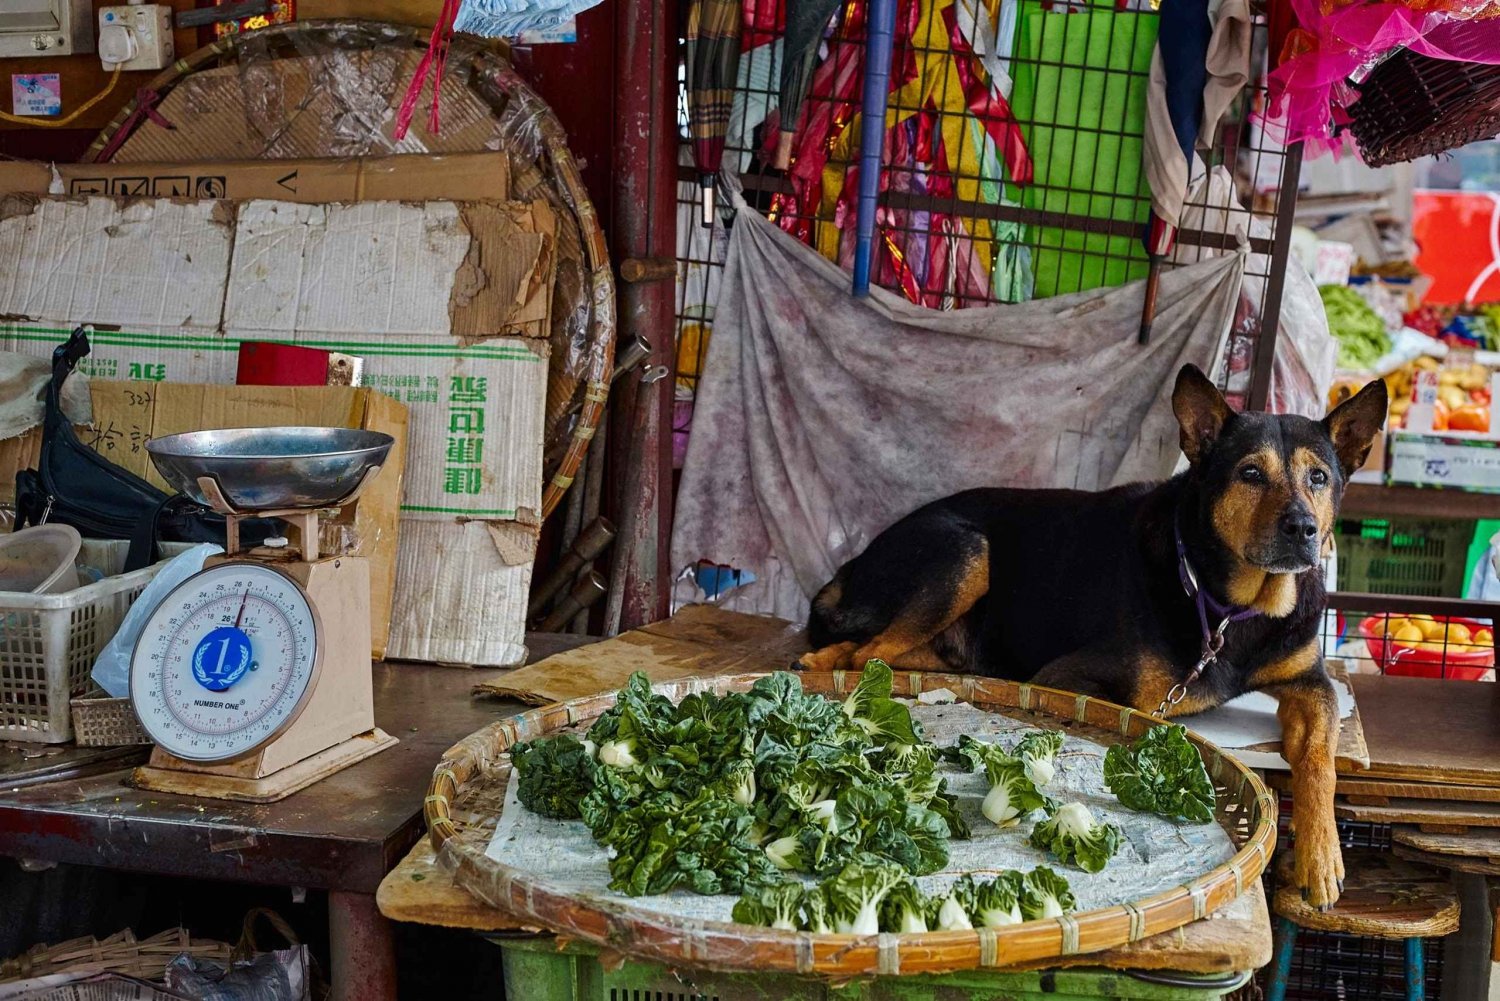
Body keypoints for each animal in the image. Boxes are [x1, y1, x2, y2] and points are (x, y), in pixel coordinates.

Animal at [804, 361, 1386, 906]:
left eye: (1319, 478)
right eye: (1249, 473)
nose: (1303, 530)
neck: (1233, 609)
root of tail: (851, 567)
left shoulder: (1311, 682)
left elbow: (1320, 759)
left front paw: (1320, 857)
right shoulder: (1070, 679)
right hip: (967, 552)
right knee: (861, 656)